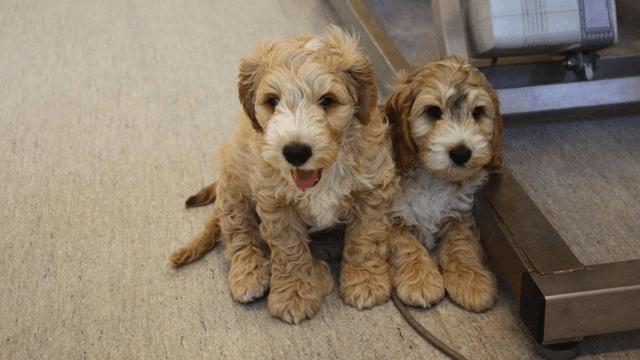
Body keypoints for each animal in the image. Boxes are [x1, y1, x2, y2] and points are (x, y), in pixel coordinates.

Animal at [168, 25, 398, 324]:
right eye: (272, 101)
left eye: (327, 100)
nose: (296, 151)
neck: (322, 174)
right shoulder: (275, 202)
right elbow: (289, 250)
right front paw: (294, 294)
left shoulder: (373, 186)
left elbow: (367, 236)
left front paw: (365, 280)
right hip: (233, 185)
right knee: (238, 232)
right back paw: (252, 272)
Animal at [382, 56, 502, 312]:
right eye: (433, 111)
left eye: (478, 112)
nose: (461, 153)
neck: (433, 178)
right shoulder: (390, 215)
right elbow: (405, 244)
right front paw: (420, 280)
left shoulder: (460, 212)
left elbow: (461, 243)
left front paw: (471, 280)